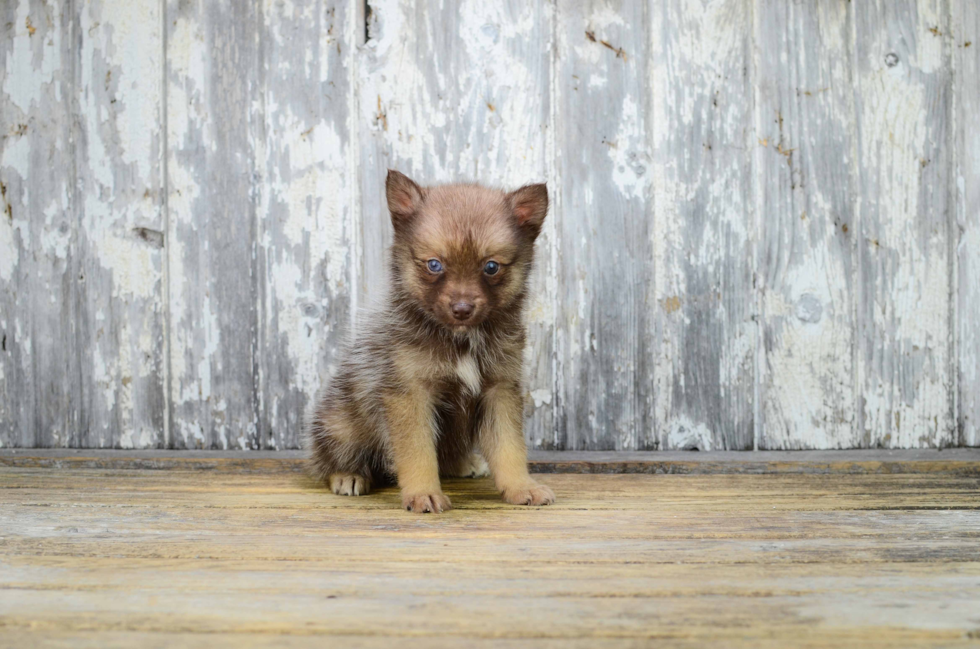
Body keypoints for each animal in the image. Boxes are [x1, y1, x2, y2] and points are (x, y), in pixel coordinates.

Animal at [302, 171, 556, 512]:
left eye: (491, 267)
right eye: (434, 264)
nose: (462, 309)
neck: (461, 339)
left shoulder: (499, 391)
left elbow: (510, 448)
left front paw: (522, 487)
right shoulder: (410, 394)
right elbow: (418, 453)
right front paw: (423, 493)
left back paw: (464, 464)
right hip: (340, 423)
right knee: (329, 457)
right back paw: (348, 475)